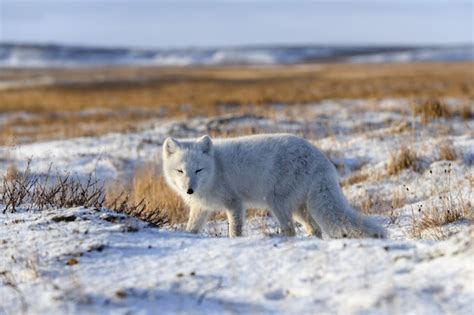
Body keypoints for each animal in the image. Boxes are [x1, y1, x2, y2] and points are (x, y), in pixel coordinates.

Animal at [162, 134, 386, 239]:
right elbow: (192, 229)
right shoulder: (201, 208)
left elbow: (235, 229)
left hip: (277, 203)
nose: (189, 190)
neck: (216, 167)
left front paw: (235, 241)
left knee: (290, 230)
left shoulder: (235, 203)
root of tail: (322, 160)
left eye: (198, 170)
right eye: (180, 171)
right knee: (314, 229)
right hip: (298, 207)